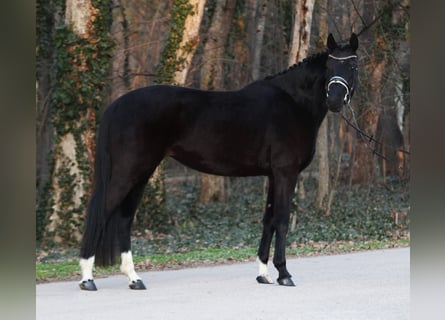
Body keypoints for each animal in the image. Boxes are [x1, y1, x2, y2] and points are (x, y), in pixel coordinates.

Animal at [78, 33, 360, 290]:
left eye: (352, 67)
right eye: (329, 67)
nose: (335, 100)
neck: (293, 103)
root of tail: (117, 105)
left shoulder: (272, 175)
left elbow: (268, 220)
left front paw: (263, 274)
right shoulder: (286, 173)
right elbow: (281, 219)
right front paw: (284, 274)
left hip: (141, 174)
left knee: (124, 219)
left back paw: (134, 278)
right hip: (128, 173)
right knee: (102, 213)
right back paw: (87, 279)